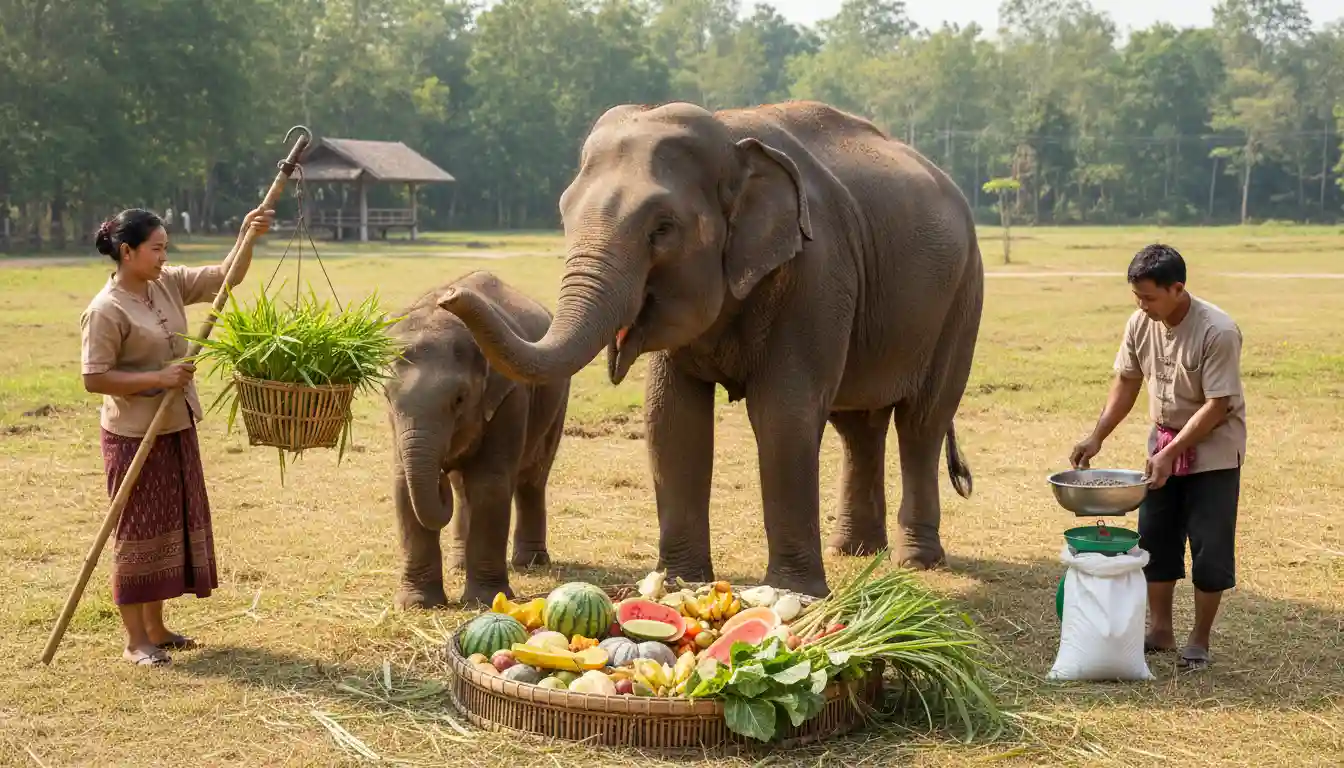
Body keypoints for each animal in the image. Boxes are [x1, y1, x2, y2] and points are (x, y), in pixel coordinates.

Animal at [385, 270, 571, 609]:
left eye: (460, 399)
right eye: (387, 396)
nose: (440, 475)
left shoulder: (511, 395)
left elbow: (489, 484)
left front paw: (485, 600)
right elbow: (403, 483)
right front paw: (416, 604)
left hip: (557, 401)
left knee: (533, 477)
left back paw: (531, 562)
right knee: (463, 489)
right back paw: (459, 564)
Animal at [437, 100, 982, 598]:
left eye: (662, 228)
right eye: (565, 214)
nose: (449, 295)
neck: (731, 135)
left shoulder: (818, 272)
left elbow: (783, 414)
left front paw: (795, 592)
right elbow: (672, 418)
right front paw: (681, 582)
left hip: (962, 298)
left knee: (921, 422)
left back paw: (916, 560)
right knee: (858, 426)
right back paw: (854, 551)